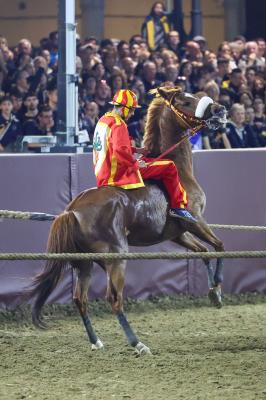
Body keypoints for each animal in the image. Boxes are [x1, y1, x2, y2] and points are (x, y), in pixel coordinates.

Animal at [26, 86, 227, 354]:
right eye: (186, 101)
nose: (220, 110)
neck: (179, 170)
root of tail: (71, 211)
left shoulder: (178, 234)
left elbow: (203, 252)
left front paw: (215, 293)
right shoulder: (194, 220)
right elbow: (219, 246)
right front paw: (218, 286)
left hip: (84, 264)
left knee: (80, 299)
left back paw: (96, 341)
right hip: (117, 258)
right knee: (114, 299)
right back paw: (137, 343)